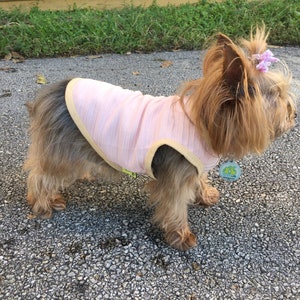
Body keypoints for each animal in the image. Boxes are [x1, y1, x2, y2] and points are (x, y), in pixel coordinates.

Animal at [23, 28, 296, 250]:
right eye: (279, 96)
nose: (293, 113)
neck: (204, 126)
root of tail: (49, 92)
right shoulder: (176, 174)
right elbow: (174, 205)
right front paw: (181, 236)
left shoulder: (192, 166)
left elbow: (200, 180)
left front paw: (205, 195)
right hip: (63, 149)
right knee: (41, 175)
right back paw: (44, 204)